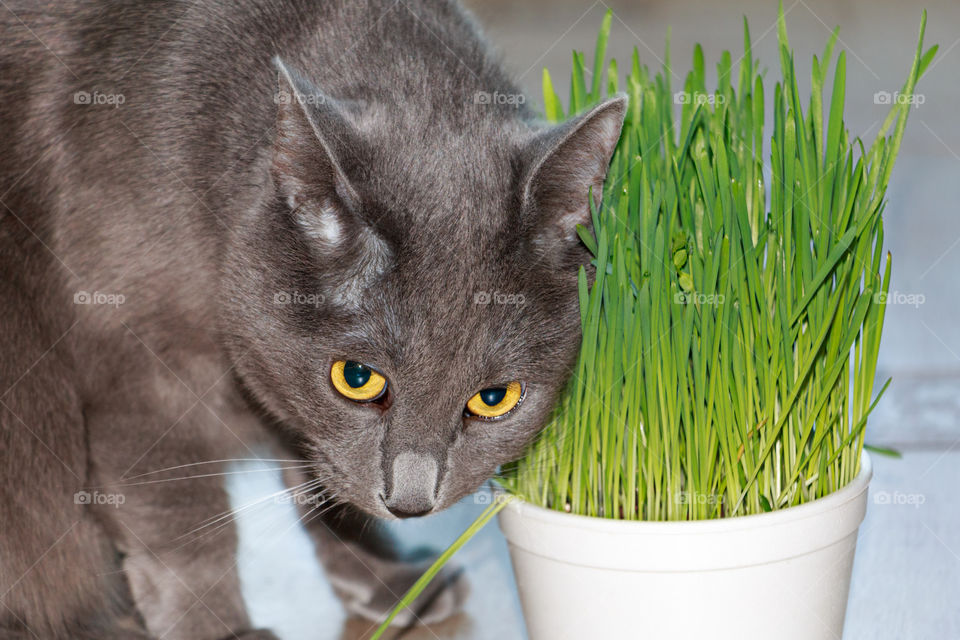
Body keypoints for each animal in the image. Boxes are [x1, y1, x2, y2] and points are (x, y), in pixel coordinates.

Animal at [0, 1, 628, 636]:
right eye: (358, 379)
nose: (410, 501)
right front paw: (224, 629)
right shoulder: (140, 368)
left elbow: (320, 480)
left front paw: (391, 585)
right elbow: (181, 522)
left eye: (494, 398)